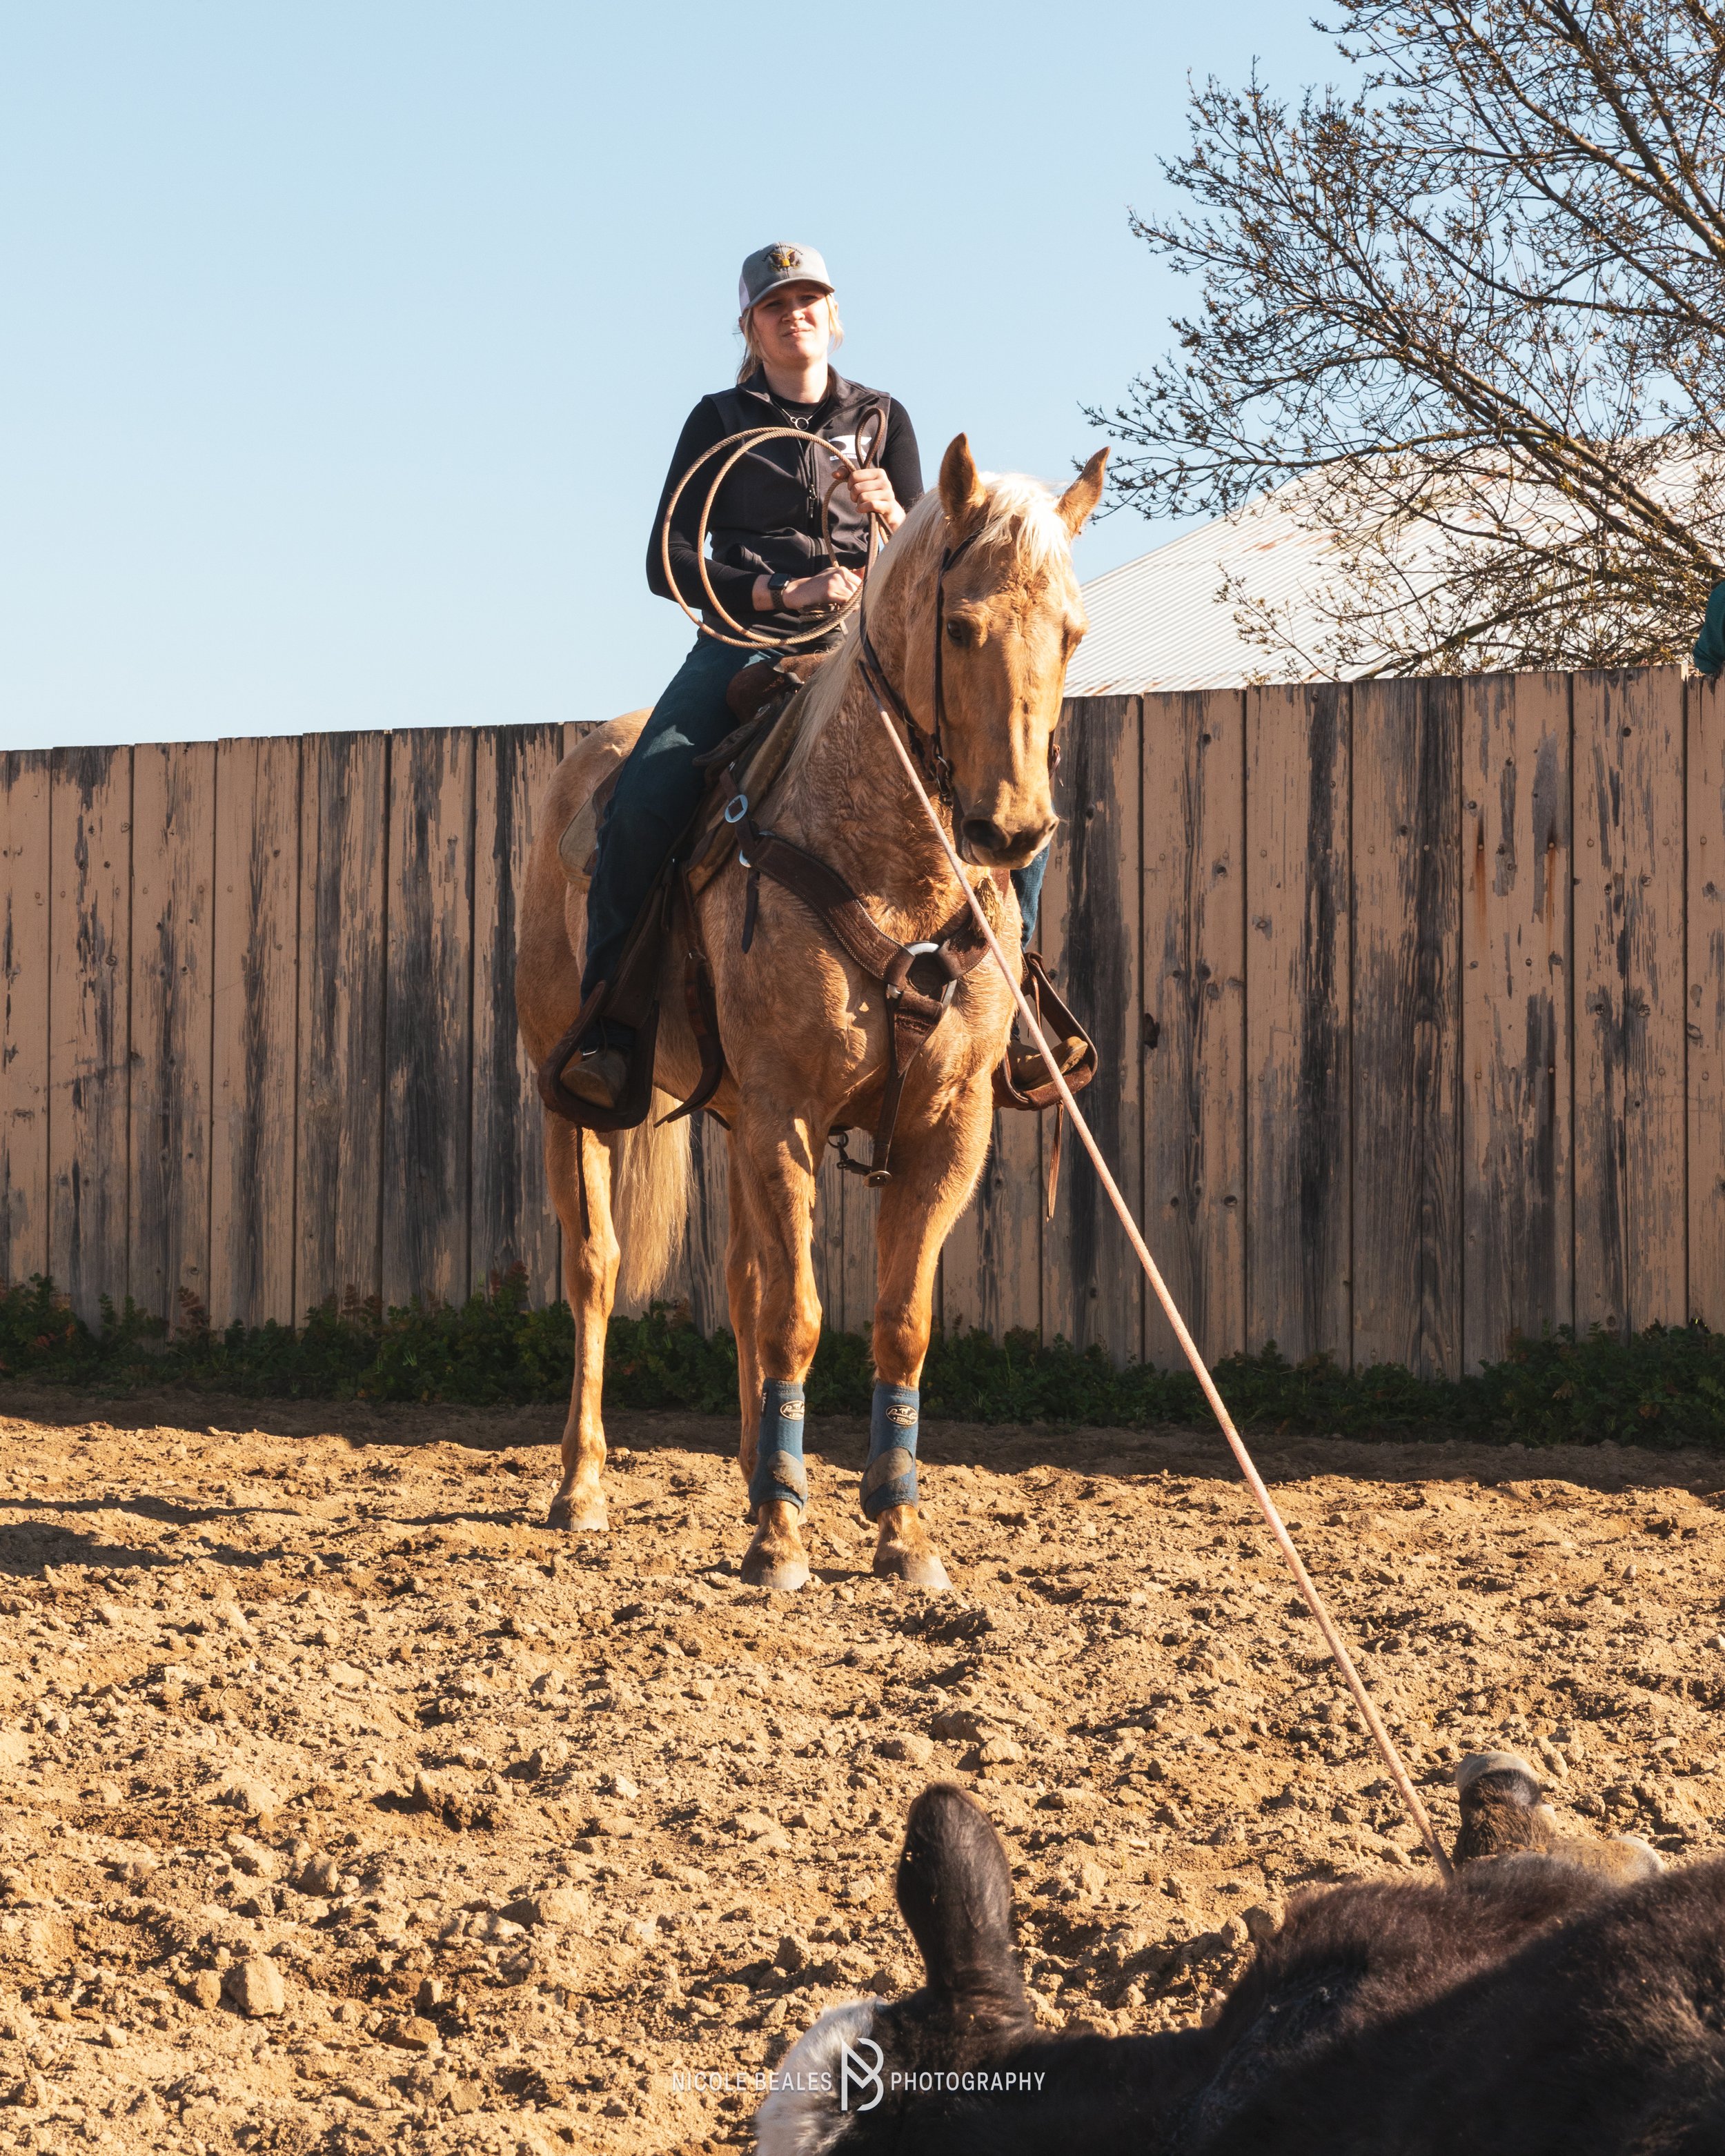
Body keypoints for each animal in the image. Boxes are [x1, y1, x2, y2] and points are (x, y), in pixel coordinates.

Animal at [515, 435, 1107, 1591]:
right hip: (572, 1098)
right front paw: (782, 1538)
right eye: (961, 626)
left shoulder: (945, 1125)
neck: (895, 872)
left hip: (733, 1112)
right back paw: (583, 1486)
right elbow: (798, 1316)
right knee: (595, 1269)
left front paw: (898, 1530)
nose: (1014, 829)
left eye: (1072, 633)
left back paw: (758, 1470)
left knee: (743, 1279)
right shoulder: (787, 1108)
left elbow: (896, 1323)